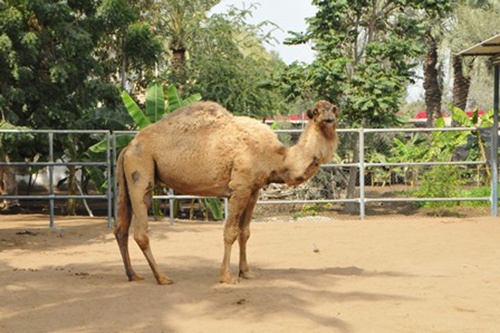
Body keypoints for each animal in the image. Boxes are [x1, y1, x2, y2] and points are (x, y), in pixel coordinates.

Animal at [114, 98, 340, 282]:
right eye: (316, 111)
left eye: (334, 109)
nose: (328, 119)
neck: (276, 157)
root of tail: (129, 146)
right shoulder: (240, 186)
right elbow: (230, 231)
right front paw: (226, 277)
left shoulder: (254, 190)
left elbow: (245, 232)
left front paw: (246, 272)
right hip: (140, 169)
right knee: (140, 230)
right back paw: (162, 277)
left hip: (130, 177)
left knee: (121, 229)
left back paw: (133, 274)